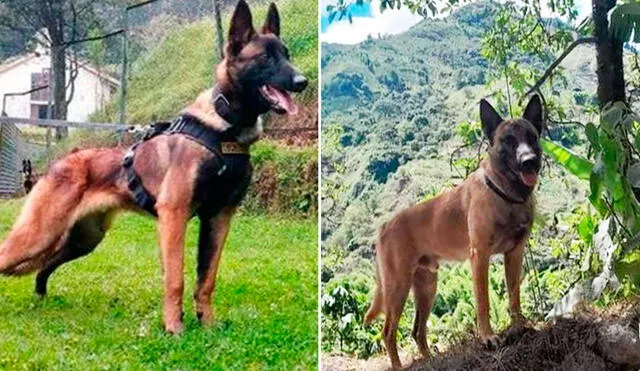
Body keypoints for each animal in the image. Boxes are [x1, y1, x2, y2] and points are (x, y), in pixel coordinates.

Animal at [0, 0, 308, 336]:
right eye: (265, 57)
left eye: (287, 54)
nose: (302, 82)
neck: (224, 128)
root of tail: (61, 162)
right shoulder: (174, 215)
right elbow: (175, 278)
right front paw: (174, 328)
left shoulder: (219, 217)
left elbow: (206, 278)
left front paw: (207, 324)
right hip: (39, 234)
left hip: (84, 240)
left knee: (44, 267)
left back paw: (41, 296)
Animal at [362, 96, 544, 370]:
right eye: (509, 141)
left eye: (532, 137)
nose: (529, 161)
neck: (506, 194)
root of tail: (384, 227)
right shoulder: (480, 257)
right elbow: (483, 302)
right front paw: (488, 337)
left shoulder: (515, 253)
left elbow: (514, 295)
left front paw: (519, 324)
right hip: (397, 287)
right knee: (388, 332)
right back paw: (398, 365)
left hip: (426, 287)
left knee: (417, 330)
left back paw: (429, 360)